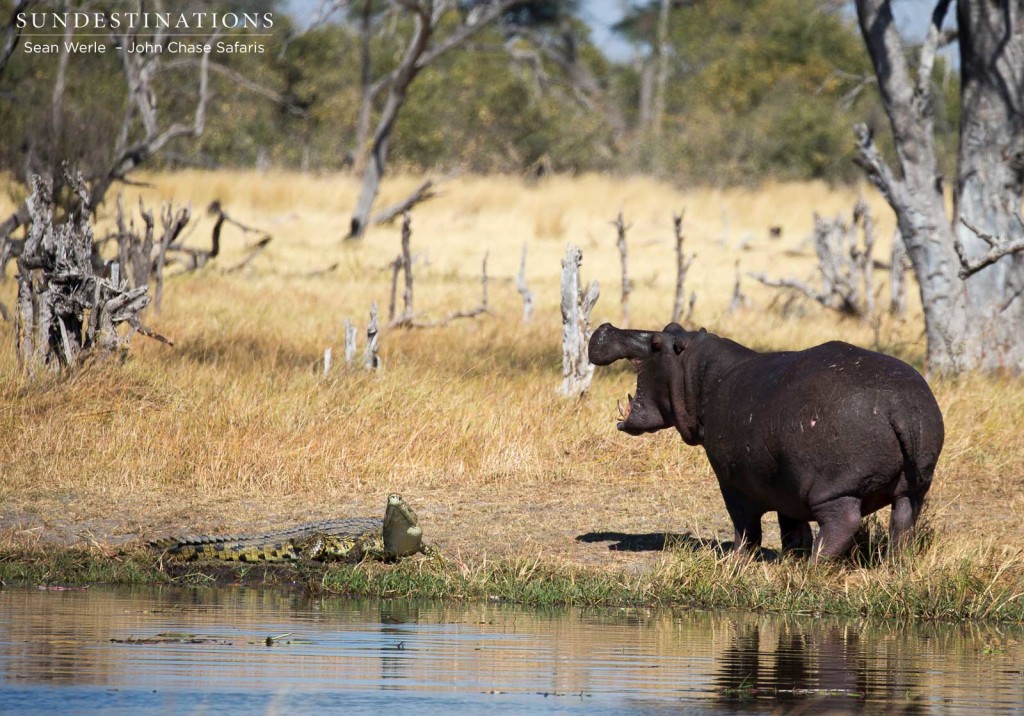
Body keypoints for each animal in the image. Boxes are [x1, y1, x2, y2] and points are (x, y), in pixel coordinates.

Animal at [589, 323, 946, 561]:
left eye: (656, 341)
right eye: (670, 326)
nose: (605, 327)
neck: (699, 373)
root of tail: (899, 405)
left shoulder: (732, 481)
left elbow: (745, 524)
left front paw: (733, 560)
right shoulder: (785, 483)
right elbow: (791, 525)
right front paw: (791, 557)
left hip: (834, 489)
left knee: (843, 523)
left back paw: (815, 566)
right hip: (912, 488)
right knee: (904, 523)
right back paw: (895, 564)